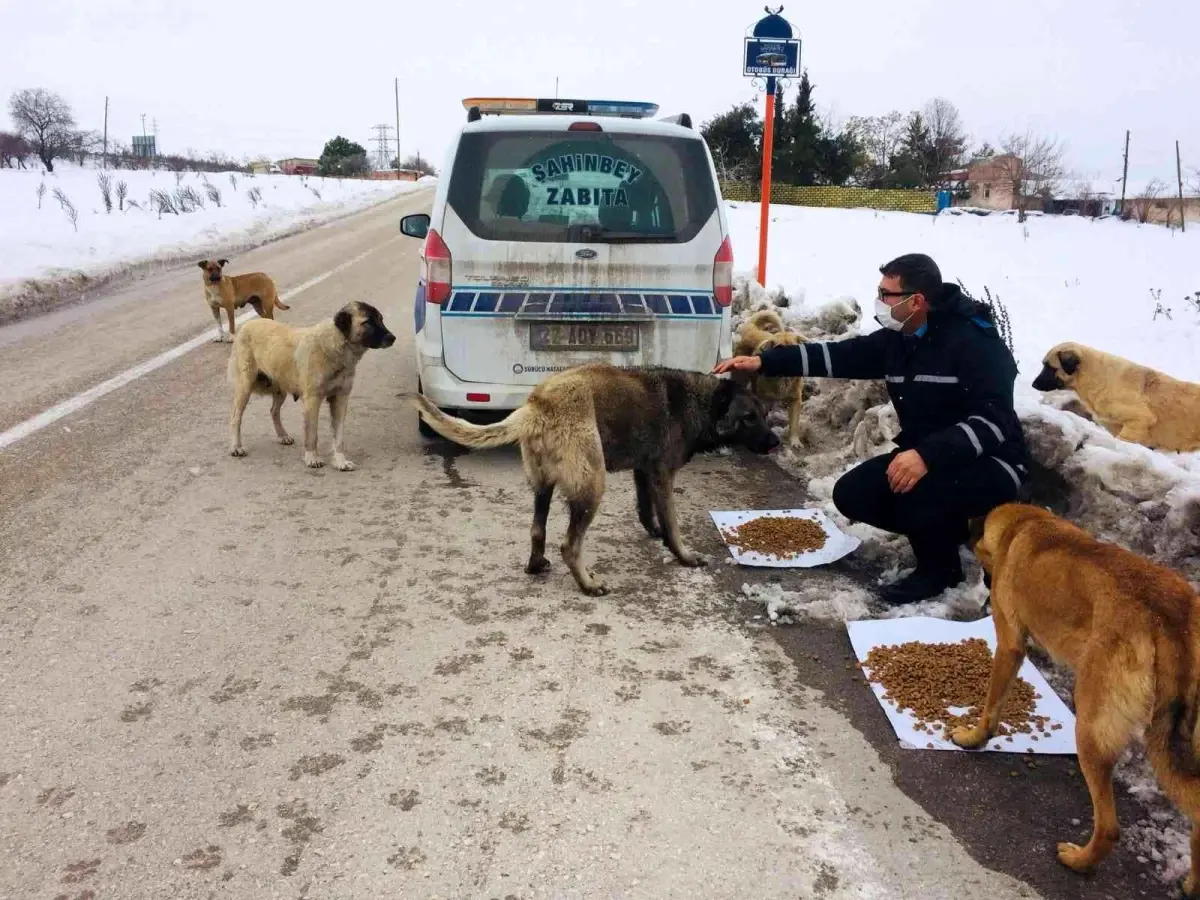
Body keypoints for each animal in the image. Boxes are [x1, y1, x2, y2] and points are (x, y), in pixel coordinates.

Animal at [225, 303, 393, 472]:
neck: (335, 346)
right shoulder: (312, 401)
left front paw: (340, 461)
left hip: (280, 388)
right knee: (235, 418)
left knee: (274, 411)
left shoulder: (340, 399)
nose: (393, 338)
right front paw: (312, 458)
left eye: (381, 319)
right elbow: (312, 434)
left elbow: (339, 437)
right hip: (245, 387)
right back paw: (236, 447)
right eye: (368, 322)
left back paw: (282, 436)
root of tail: (248, 325)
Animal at [412, 362, 782, 595]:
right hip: (592, 486)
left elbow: (647, 510)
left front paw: (656, 532)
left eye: (764, 414)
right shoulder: (663, 476)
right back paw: (588, 584)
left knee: (537, 530)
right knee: (569, 545)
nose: (775, 442)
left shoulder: (644, 472)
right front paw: (683, 555)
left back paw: (536, 564)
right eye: (749, 418)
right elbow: (673, 523)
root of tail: (538, 405)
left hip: (543, 486)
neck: (704, 402)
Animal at [729, 309, 806, 451]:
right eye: (779, 348)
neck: (783, 378)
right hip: (741, 376)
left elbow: (794, 424)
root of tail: (752, 328)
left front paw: (795, 441)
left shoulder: (795, 400)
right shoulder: (762, 400)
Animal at [955, 501, 1200, 897]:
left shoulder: (1009, 644)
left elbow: (992, 705)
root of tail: (1170, 622)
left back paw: (1080, 861)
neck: (1025, 524)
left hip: (1092, 729)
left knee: (1110, 826)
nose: (986, 590)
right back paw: (1193, 881)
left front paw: (975, 738)